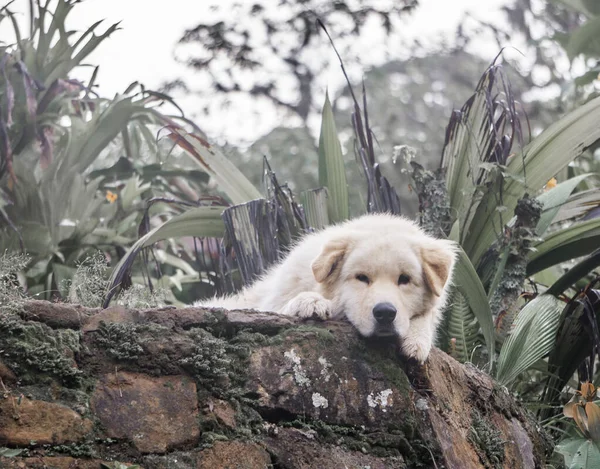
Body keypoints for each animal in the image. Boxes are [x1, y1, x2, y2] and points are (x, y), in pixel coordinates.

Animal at [196, 212, 454, 362]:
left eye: (404, 279)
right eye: (361, 278)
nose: (385, 313)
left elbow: (426, 315)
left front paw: (417, 340)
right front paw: (309, 302)